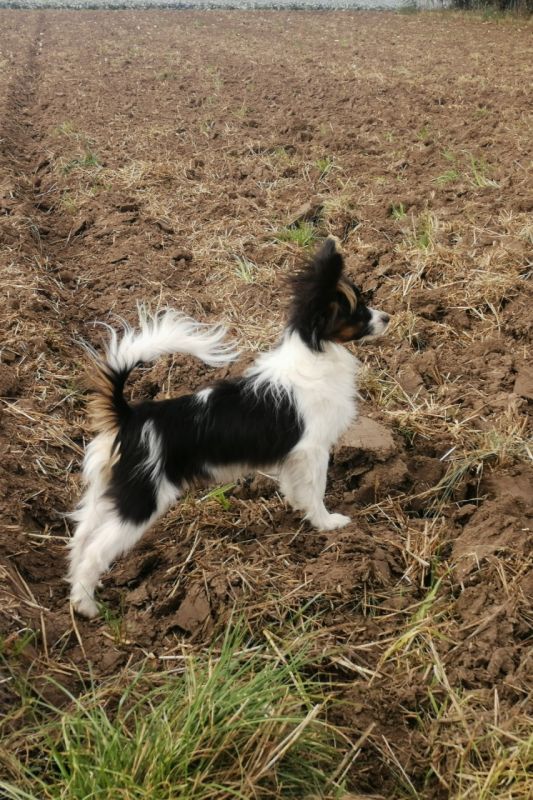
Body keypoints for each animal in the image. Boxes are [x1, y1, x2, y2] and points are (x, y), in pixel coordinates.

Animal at [68, 238, 390, 617]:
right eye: (358, 312)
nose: (386, 317)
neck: (315, 352)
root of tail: (130, 416)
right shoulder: (313, 451)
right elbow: (316, 491)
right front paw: (326, 523)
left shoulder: (294, 457)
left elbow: (294, 488)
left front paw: (300, 511)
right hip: (141, 500)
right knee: (95, 551)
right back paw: (87, 606)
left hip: (107, 491)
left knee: (80, 538)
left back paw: (76, 590)